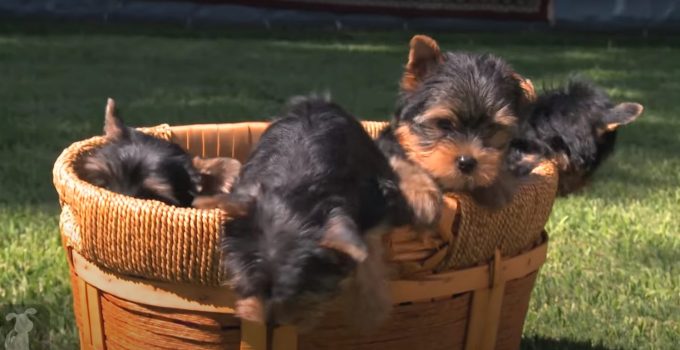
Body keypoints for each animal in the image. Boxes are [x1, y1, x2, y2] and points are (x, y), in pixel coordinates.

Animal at [215, 95, 406, 330]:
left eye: (300, 289)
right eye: (249, 285)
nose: (270, 323)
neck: (296, 191)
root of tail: (315, 100)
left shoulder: (373, 201)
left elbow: (366, 248)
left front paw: (370, 309)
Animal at [378, 34, 536, 211]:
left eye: (491, 128)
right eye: (444, 123)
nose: (467, 162)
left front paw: (498, 184)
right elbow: (400, 159)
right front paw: (420, 192)